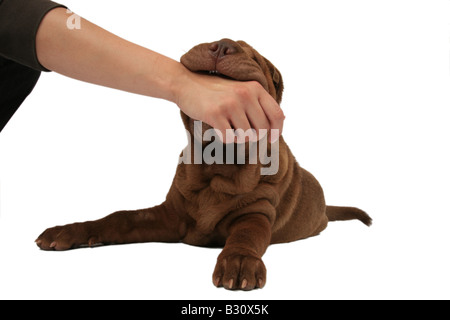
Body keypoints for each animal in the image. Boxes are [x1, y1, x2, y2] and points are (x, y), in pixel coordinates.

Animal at [36, 38, 372, 292]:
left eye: (254, 58)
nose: (222, 45)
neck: (218, 164)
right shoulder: (169, 214)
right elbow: (120, 218)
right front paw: (68, 231)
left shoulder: (257, 212)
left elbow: (246, 236)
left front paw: (239, 263)